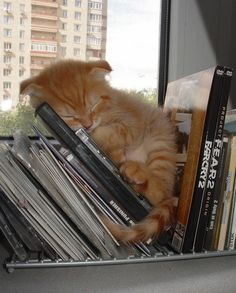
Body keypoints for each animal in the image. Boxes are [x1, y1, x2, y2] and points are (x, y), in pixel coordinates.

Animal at [20, 59, 177, 242]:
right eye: (69, 117)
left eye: (93, 106)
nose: (87, 124)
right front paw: (114, 153)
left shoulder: (132, 123)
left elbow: (108, 133)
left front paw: (94, 137)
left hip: (160, 144)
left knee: (160, 191)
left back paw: (135, 171)